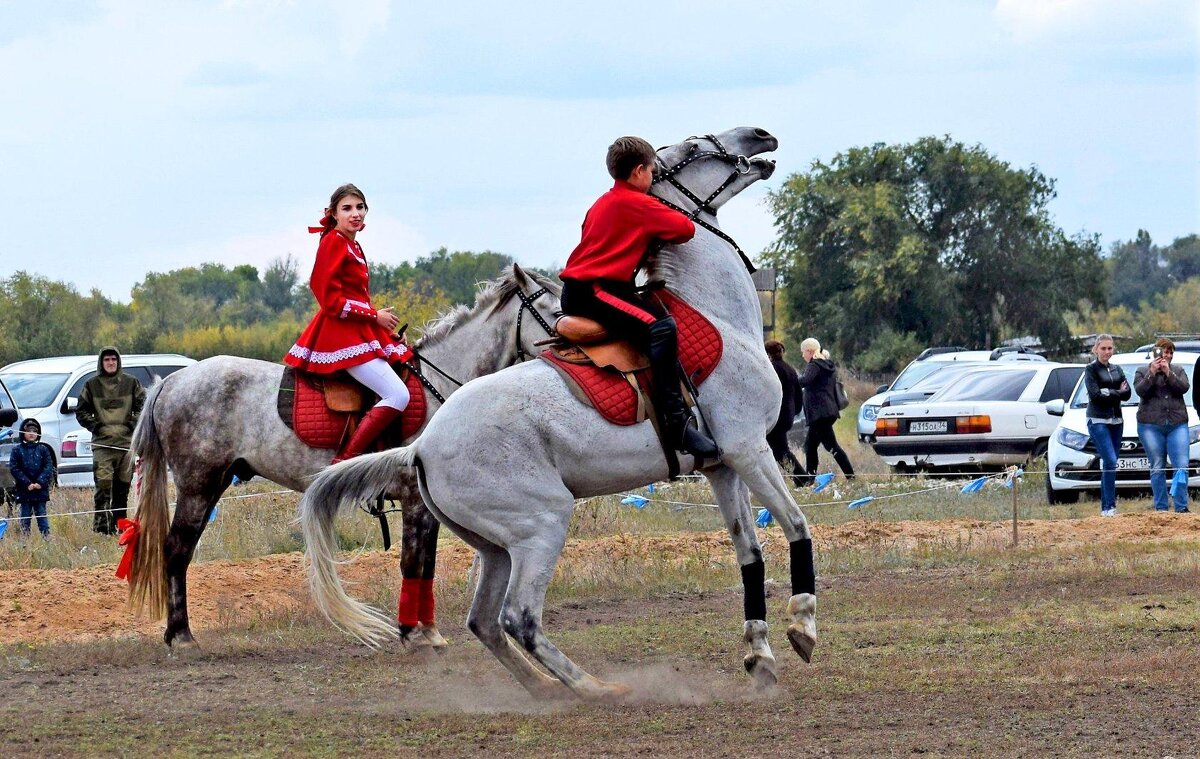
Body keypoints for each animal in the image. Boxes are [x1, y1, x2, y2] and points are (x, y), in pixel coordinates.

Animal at [129, 265, 559, 648]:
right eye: (556, 312)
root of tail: (170, 380)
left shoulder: (425, 506)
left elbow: (427, 564)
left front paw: (428, 632)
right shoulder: (414, 500)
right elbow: (413, 562)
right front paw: (412, 634)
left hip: (211, 484)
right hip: (198, 486)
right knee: (177, 551)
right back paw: (181, 636)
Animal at [304, 127, 820, 701]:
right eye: (690, 149)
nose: (760, 136)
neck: (716, 316)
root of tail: (421, 445)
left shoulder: (722, 467)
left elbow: (749, 555)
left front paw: (760, 656)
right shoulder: (749, 449)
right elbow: (797, 525)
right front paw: (802, 625)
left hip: (497, 547)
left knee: (484, 622)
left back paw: (545, 688)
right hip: (542, 524)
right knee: (519, 619)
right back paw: (594, 688)